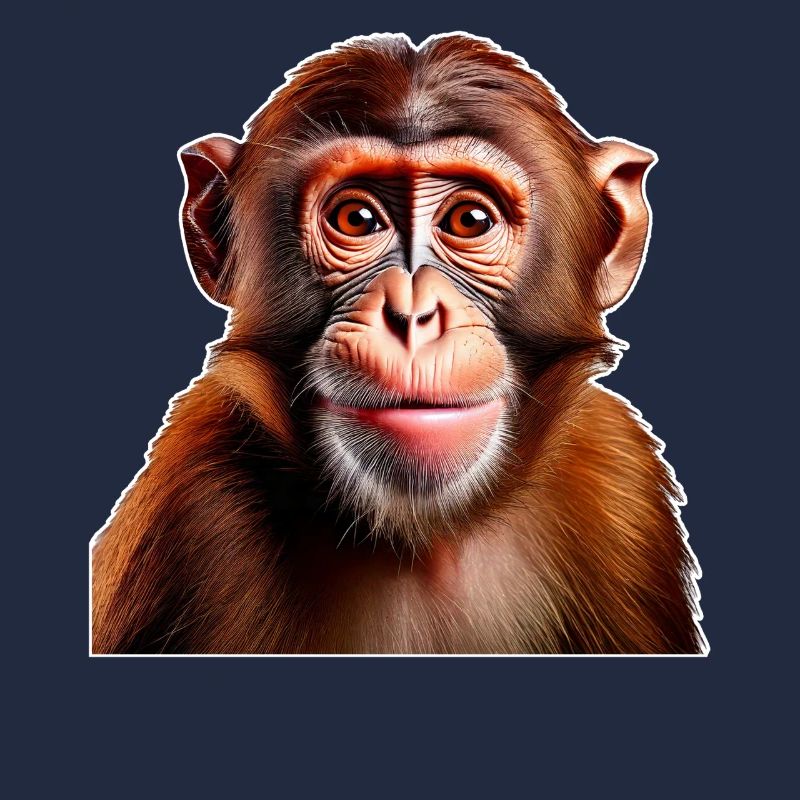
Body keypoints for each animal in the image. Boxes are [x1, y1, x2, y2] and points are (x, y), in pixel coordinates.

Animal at [91, 33, 705, 654]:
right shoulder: (191, 506)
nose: (412, 314)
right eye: (356, 219)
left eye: (470, 219)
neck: (423, 540)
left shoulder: (620, 477)